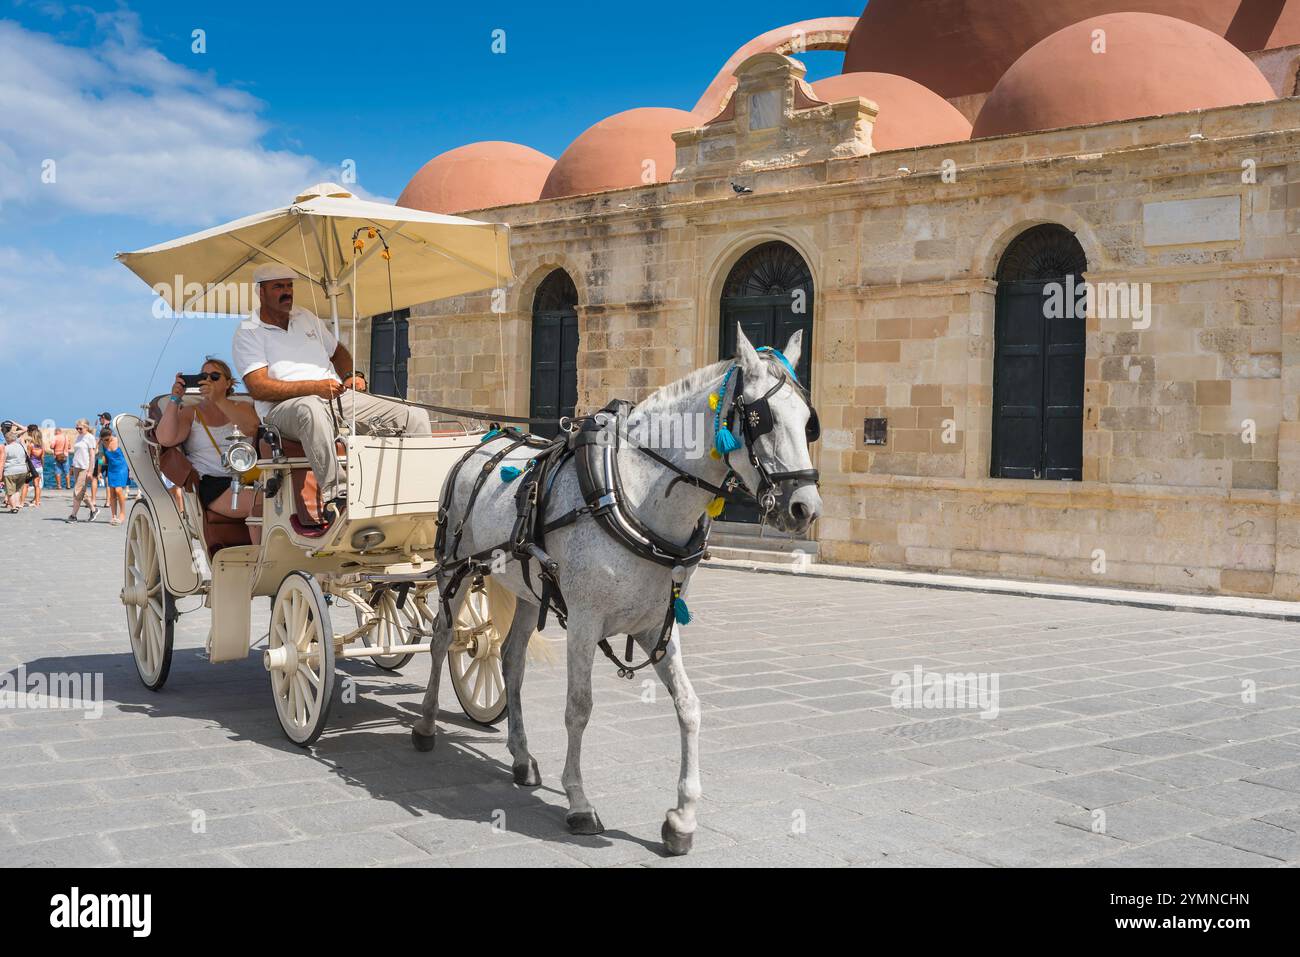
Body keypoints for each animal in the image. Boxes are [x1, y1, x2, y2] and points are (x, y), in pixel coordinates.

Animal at [413, 327, 821, 852]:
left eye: (808, 421)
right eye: (760, 418)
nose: (805, 508)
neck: (633, 493)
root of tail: (483, 442)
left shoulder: (657, 625)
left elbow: (689, 706)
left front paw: (682, 817)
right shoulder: (585, 623)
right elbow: (579, 708)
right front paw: (579, 802)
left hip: (525, 589)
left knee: (510, 661)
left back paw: (521, 758)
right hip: (455, 570)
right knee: (442, 640)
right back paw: (425, 725)